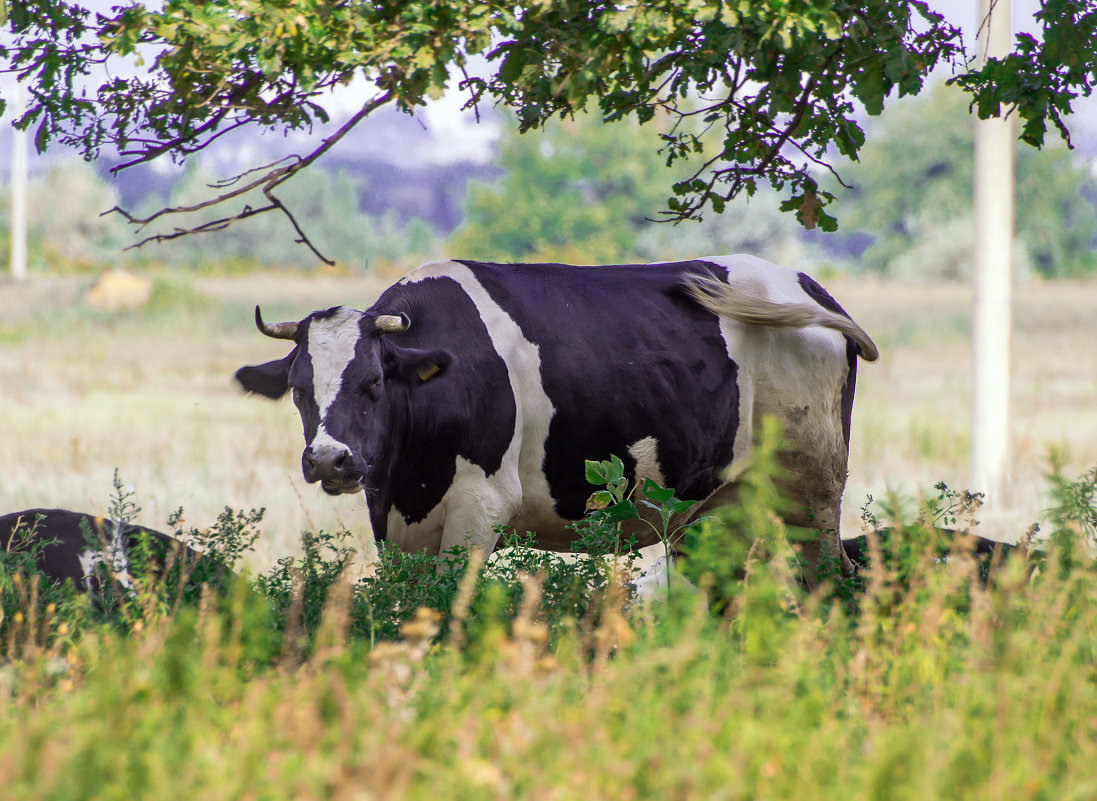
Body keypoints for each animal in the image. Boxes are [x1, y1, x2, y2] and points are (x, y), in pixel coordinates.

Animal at [235, 252, 877, 579]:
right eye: (298, 390)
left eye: (372, 383)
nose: (329, 460)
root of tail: (804, 282)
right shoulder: (392, 517)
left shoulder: (481, 506)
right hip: (723, 503)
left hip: (814, 487)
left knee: (828, 581)